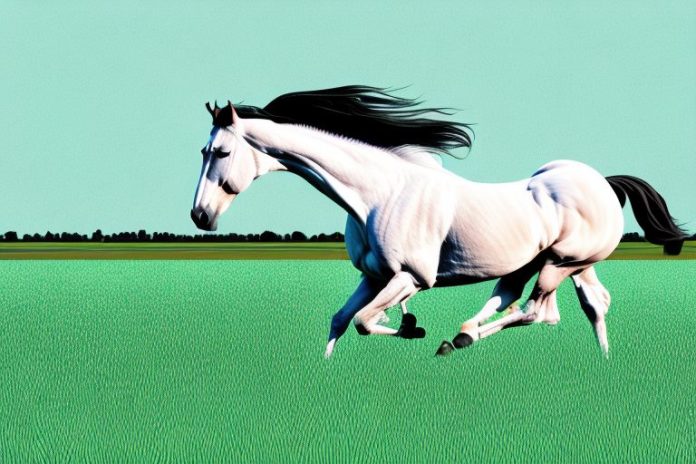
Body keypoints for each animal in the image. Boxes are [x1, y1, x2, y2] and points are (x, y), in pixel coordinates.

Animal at [190, 86, 686, 358]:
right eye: (203, 150)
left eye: (222, 151)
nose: (200, 215)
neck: (378, 195)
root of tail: (603, 183)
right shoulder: (372, 277)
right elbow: (339, 321)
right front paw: (324, 371)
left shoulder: (410, 277)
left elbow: (366, 322)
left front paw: (414, 327)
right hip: (558, 264)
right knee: (578, 305)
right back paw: (598, 360)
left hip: (559, 264)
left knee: (538, 312)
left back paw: (459, 339)